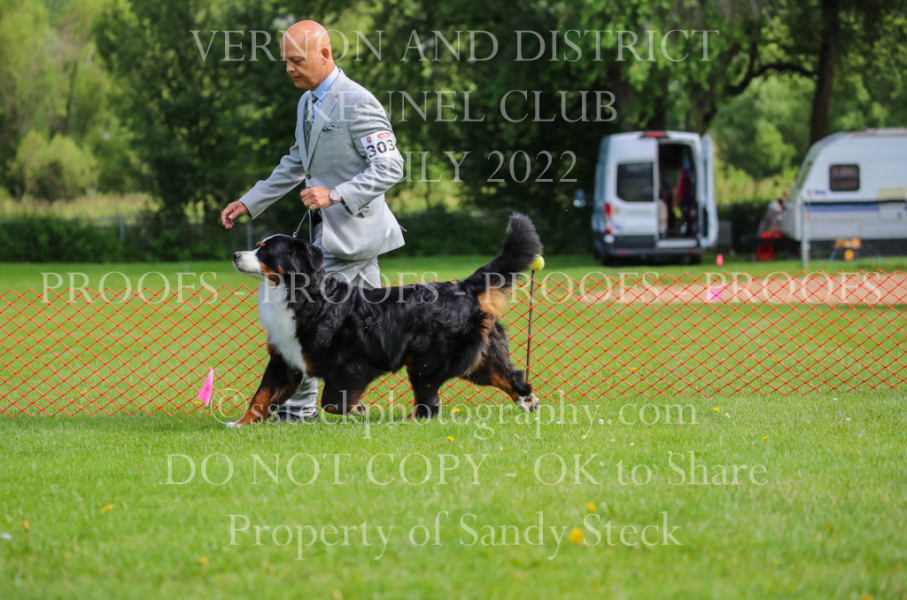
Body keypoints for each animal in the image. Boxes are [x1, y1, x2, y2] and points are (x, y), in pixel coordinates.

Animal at [229, 213, 542, 425]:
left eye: (265, 251)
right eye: (257, 245)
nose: (235, 254)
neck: (297, 294)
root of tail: (463, 287)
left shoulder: (352, 365)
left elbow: (332, 402)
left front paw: (356, 408)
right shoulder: (285, 359)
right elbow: (261, 396)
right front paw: (240, 424)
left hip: (427, 363)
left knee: (429, 403)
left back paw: (407, 422)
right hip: (480, 358)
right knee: (511, 377)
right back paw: (528, 400)